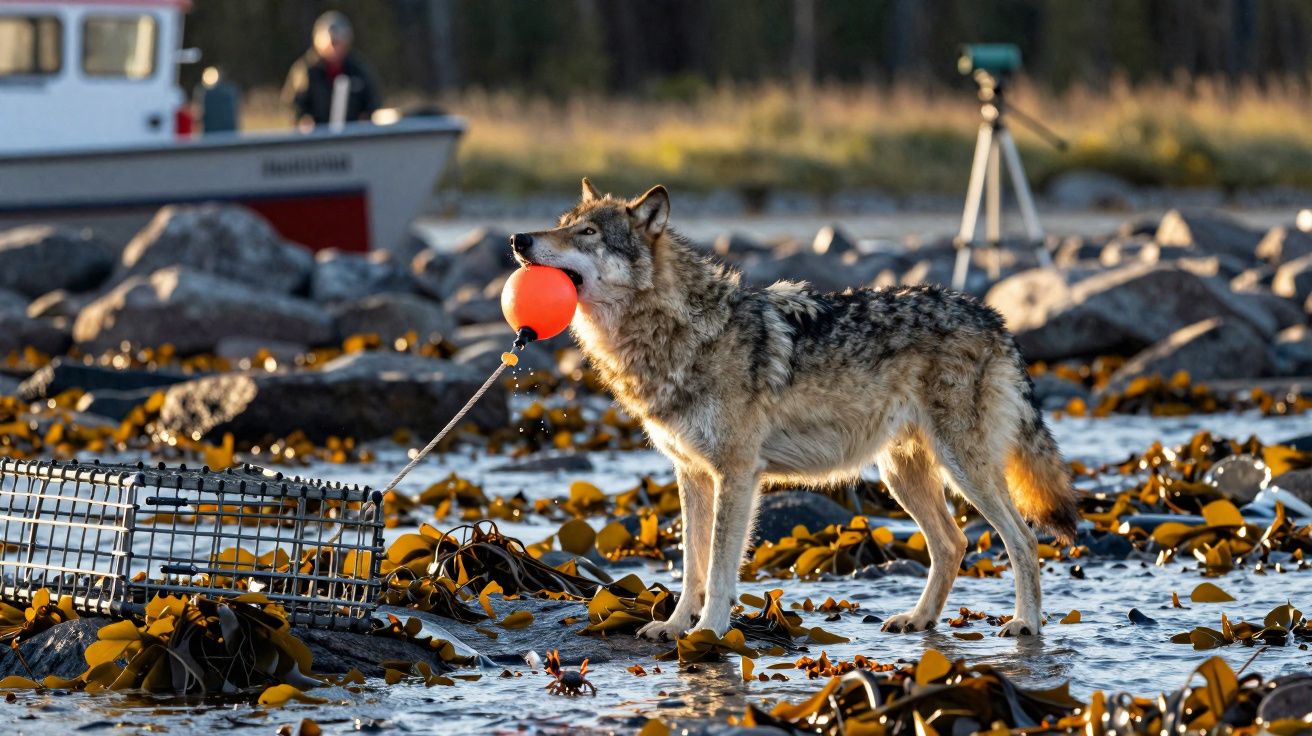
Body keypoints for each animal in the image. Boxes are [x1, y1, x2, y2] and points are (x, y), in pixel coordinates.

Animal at [509, 179, 1078, 640]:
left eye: (587, 233)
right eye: (562, 224)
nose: (518, 240)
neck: (684, 332)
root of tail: (993, 317)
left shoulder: (736, 474)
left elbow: (719, 567)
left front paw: (709, 632)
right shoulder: (691, 474)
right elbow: (691, 565)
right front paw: (673, 626)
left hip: (964, 470)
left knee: (1023, 541)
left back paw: (1025, 624)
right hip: (903, 476)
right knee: (953, 543)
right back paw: (919, 619)